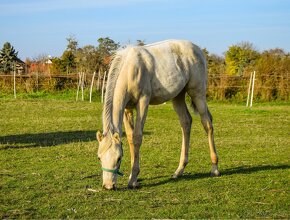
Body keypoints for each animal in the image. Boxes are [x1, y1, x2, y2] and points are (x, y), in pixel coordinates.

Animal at [97, 39, 220, 189]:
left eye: (119, 158)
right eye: (99, 157)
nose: (108, 186)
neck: (129, 69)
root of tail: (197, 50)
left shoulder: (143, 102)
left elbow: (137, 137)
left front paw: (133, 179)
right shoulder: (127, 108)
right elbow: (131, 138)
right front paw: (133, 177)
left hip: (198, 93)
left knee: (207, 123)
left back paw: (214, 168)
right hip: (178, 96)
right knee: (186, 122)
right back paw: (179, 171)